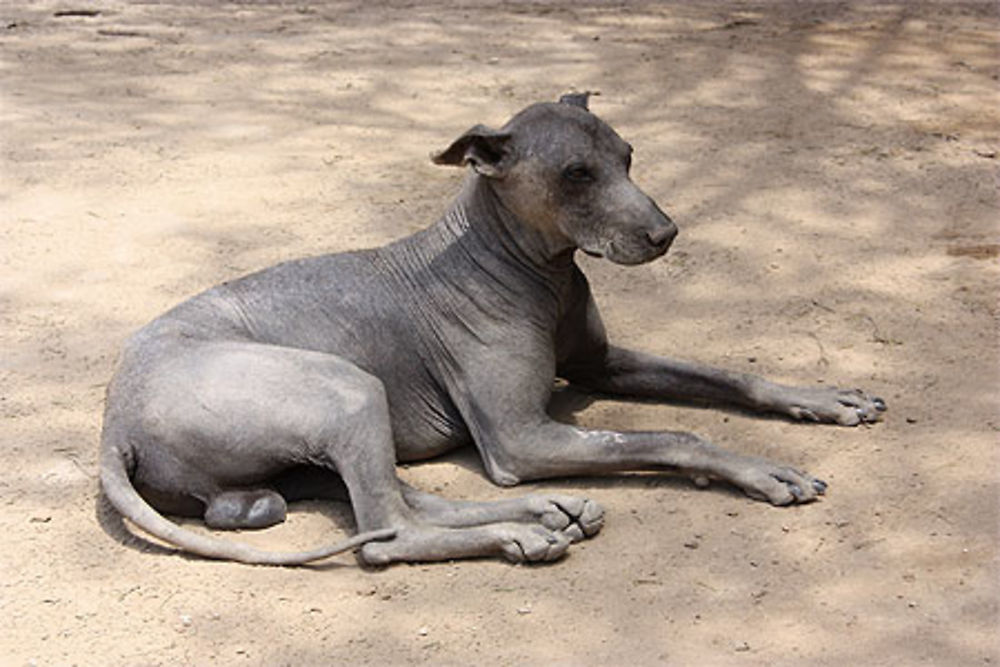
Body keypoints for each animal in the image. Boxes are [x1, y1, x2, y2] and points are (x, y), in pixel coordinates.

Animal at [99, 92, 884, 564]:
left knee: (397, 500)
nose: (665, 234)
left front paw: (823, 398)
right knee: (385, 533)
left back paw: (551, 509)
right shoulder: (520, 437)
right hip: (345, 388)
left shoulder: (601, 364)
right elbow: (674, 435)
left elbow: (727, 375)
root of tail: (114, 426)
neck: (533, 270)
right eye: (576, 174)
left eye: (628, 156)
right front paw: (763, 470)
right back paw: (522, 529)